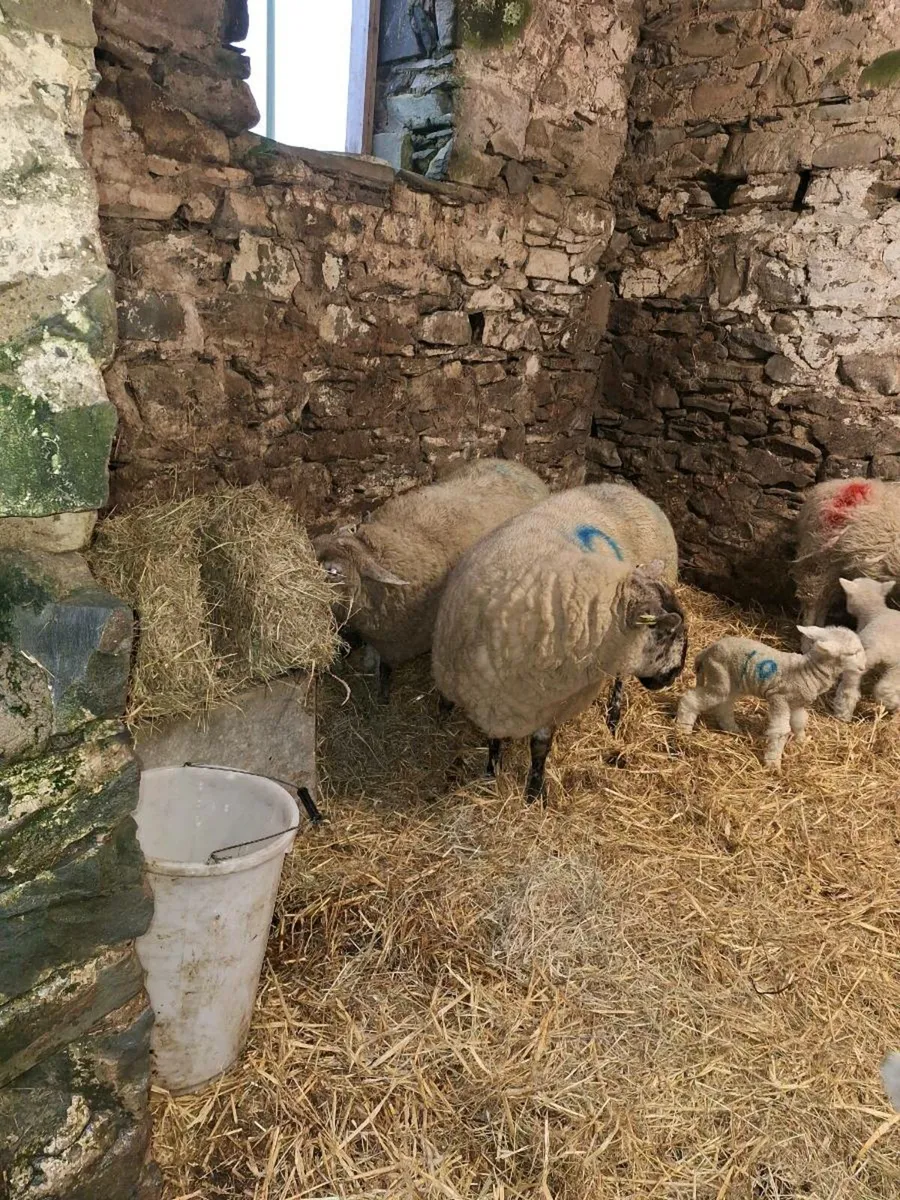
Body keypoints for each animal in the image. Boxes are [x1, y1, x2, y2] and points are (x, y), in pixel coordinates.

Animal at [431, 485, 688, 801]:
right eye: (667, 632)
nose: (676, 674)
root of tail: (630, 489)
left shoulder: (551, 704)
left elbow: (540, 749)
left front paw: (533, 794)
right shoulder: (493, 698)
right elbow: (494, 742)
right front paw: (491, 776)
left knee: (620, 678)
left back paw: (613, 716)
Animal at [675, 625, 866, 769]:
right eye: (852, 653)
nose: (864, 667)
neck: (808, 671)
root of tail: (707, 651)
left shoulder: (796, 703)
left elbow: (799, 722)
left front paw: (801, 741)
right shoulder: (779, 698)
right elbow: (781, 730)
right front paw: (773, 763)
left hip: (732, 682)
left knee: (724, 706)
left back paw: (732, 728)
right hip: (719, 676)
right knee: (692, 699)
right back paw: (683, 730)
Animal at [832, 577, 900, 720]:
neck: (875, 611)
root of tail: (877, 648)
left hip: (856, 664)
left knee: (848, 690)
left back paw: (842, 715)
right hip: (897, 667)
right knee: (885, 689)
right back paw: (894, 705)